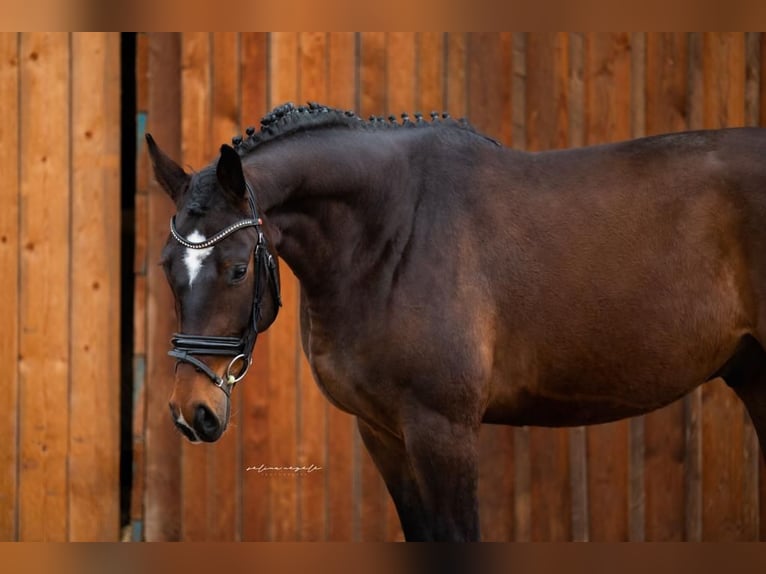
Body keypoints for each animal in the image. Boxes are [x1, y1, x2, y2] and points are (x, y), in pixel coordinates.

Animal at [148, 102, 766, 544]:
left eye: (236, 268)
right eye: (167, 267)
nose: (191, 411)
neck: (393, 231)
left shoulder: (443, 430)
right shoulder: (382, 432)